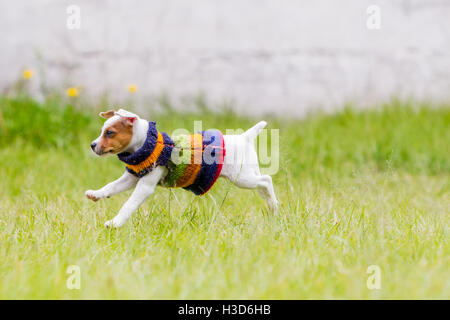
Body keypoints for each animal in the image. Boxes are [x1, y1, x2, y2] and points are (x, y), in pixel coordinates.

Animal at [82, 110, 276, 228]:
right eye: (102, 131)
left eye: (110, 133)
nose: (92, 145)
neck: (149, 144)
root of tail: (245, 137)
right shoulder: (131, 178)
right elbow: (111, 186)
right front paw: (96, 194)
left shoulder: (144, 186)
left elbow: (128, 204)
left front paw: (115, 223)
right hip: (249, 174)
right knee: (262, 185)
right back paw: (270, 205)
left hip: (241, 177)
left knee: (266, 180)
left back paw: (274, 205)